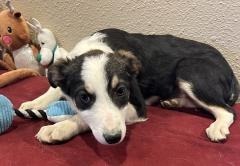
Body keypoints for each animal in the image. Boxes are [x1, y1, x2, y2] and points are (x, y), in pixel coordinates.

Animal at [19, 29, 239, 145]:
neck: (96, 48)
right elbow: (54, 89)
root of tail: (231, 72)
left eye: (121, 91)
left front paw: (59, 127)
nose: (114, 139)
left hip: (189, 69)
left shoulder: (138, 106)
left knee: (227, 110)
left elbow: (82, 118)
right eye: (84, 97)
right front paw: (33, 103)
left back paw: (217, 126)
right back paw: (173, 101)